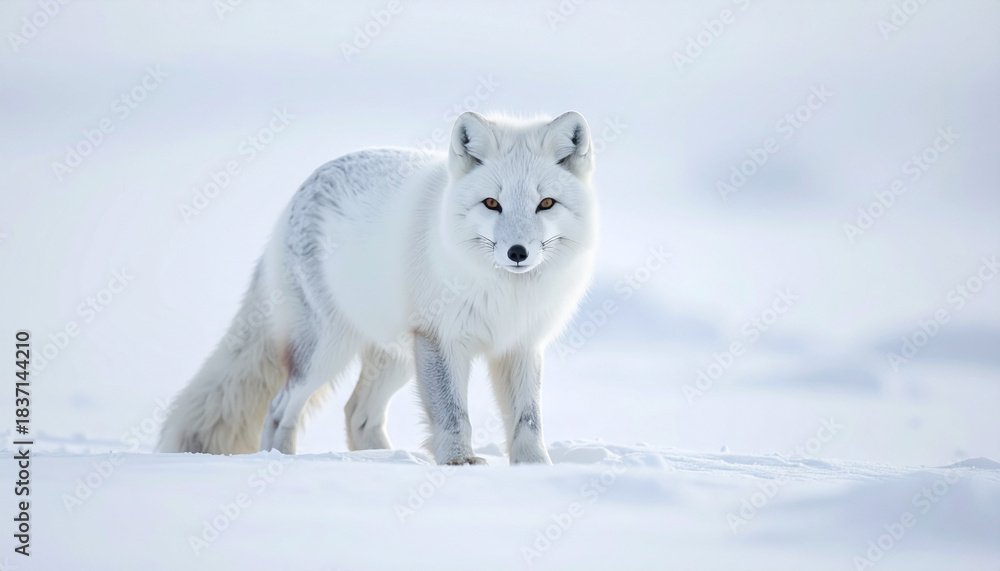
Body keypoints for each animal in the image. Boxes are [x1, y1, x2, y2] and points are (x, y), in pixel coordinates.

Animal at [157, 111, 599, 465]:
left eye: (546, 204)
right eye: (492, 203)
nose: (517, 252)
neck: (507, 293)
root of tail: (300, 192)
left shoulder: (520, 344)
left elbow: (527, 419)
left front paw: (534, 468)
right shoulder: (441, 339)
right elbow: (453, 413)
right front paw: (458, 463)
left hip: (396, 358)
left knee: (357, 413)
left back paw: (383, 460)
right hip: (326, 352)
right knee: (280, 407)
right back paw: (280, 460)